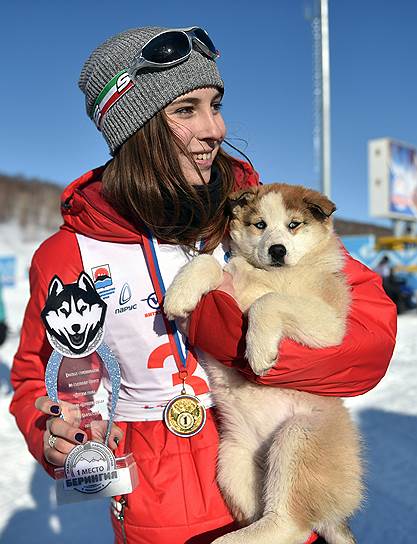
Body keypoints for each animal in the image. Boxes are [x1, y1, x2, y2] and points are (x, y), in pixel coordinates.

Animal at [164, 184, 362, 544]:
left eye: (294, 224)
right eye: (260, 225)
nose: (277, 250)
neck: (270, 275)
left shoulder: (329, 323)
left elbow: (268, 301)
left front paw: (258, 351)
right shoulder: (228, 278)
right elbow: (207, 262)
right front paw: (180, 295)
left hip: (298, 436)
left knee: (290, 523)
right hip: (233, 462)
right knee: (269, 516)